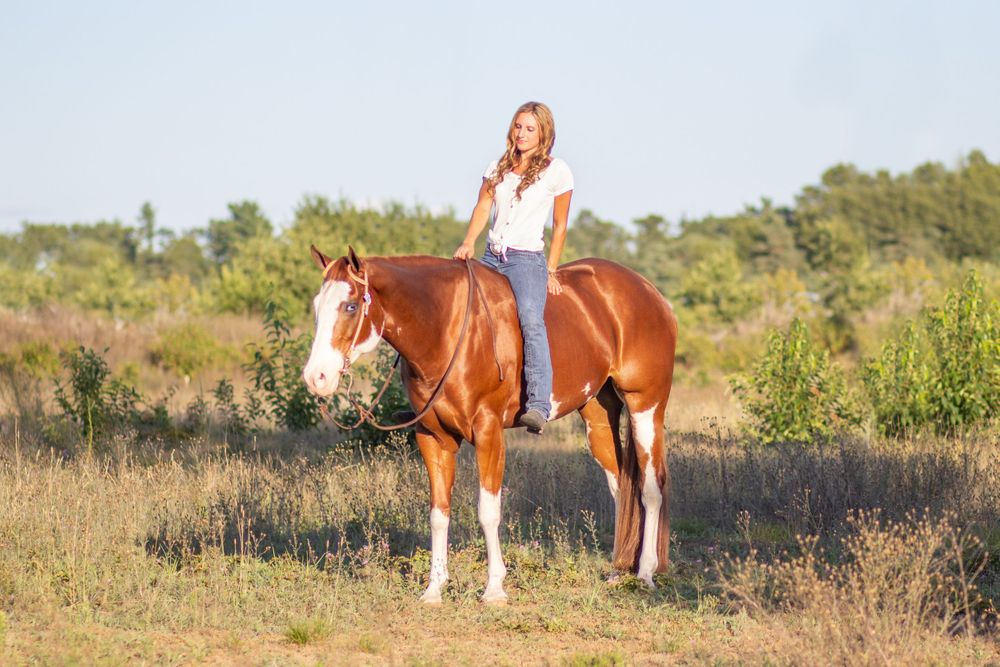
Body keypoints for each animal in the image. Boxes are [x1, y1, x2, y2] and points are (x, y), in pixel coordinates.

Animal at [303, 246, 678, 604]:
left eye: (351, 306)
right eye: (317, 306)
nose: (315, 377)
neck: (447, 328)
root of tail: (652, 294)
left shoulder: (488, 431)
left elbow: (488, 511)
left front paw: (494, 588)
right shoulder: (433, 437)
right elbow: (439, 513)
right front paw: (434, 589)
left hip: (646, 407)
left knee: (650, 488)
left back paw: (645, 573)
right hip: (598, 416)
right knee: (621, 489)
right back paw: (617, 570)